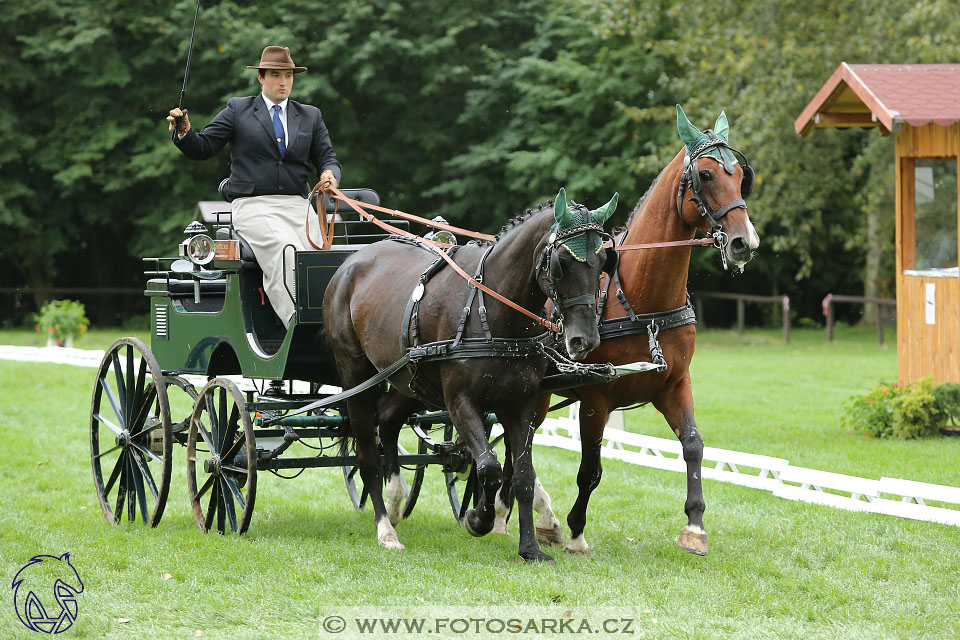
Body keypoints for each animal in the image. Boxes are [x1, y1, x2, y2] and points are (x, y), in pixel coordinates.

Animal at [322, 189, 620, 560]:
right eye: (561, 263)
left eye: (603, 262)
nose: (584, 339)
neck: (496, 312)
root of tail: (353, 259)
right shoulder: (460, 401)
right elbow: (489, 467)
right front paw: (479, 518)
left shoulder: (522, 403)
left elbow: (522, 475)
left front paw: (529, 547)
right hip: (355, 375)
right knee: (366, 451)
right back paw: (385, 528)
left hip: (409, 380)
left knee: (388, 420)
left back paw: (394, 501)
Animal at [496, 105, 756, 556]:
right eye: (705, 175)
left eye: (741, 175)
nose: (745, 242)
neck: (642, 300)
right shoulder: (597, 398)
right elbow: (590, 469)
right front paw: (578, 532)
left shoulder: (674, 384)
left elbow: (694, 445)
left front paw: (695, 526)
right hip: (536, 393)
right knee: (516, 446)